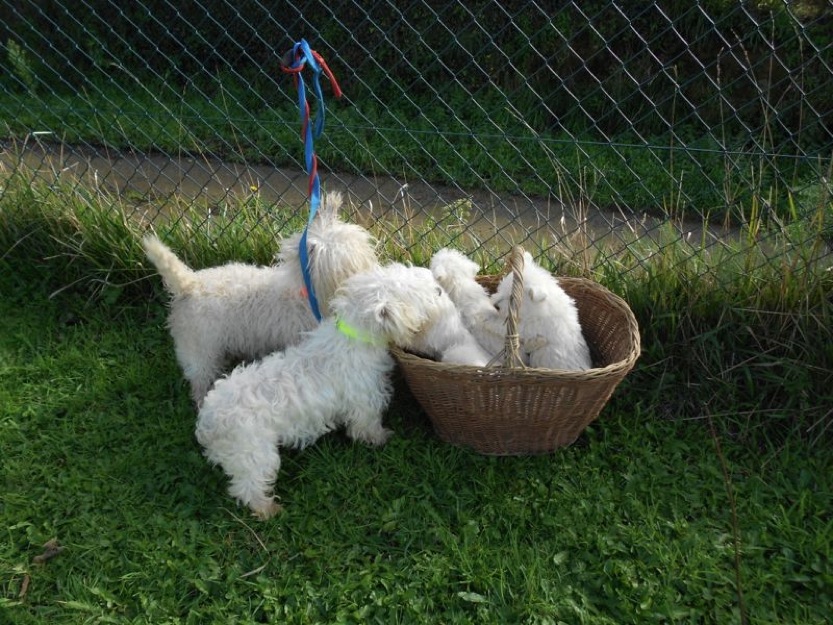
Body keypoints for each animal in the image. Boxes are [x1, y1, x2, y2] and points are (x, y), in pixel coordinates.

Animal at [194, 260, 452, 520]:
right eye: (418, 292)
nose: (439, 289)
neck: (354, 336)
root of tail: (208, 421)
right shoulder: (365, 404)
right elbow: (366, 428)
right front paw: (381, 438)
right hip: (254, 455)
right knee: (247, 488)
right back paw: (268, 510)